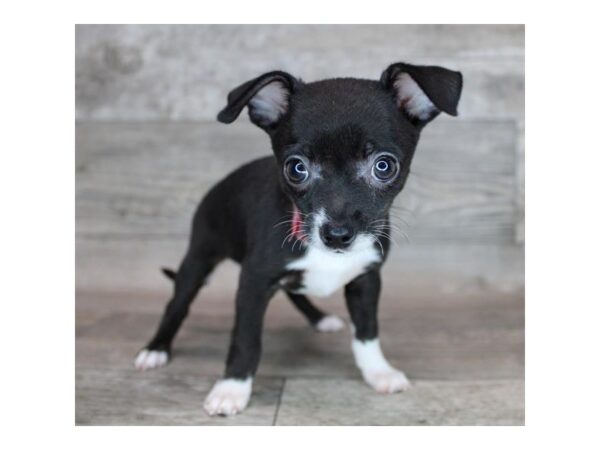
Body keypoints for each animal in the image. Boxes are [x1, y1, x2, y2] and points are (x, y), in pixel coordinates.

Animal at [135, 62, 464, 414]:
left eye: (384, 166)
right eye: (296, 169)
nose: (337, 234)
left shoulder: (367, 280)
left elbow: (367, 331)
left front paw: (379, 372)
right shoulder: (253, 284)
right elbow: (246, 340)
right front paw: (232, 388)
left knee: (295, 292)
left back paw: (320, 319)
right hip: (199, 256)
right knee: (177, 303)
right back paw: (156, 348)